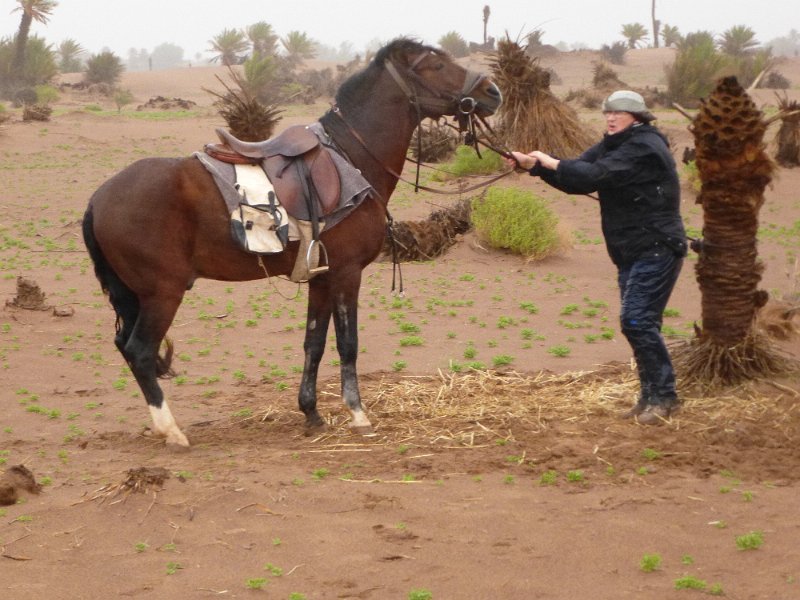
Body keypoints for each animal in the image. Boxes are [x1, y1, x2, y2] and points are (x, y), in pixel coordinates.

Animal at [84, 39, 504, 446]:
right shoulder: (347, 274)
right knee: (140, 352)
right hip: (163, 293)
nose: (492, 91)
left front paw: (311, 412)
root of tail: (99, 198)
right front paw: (358, 414)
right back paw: (171, 431)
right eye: (436, 65)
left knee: (127, 347)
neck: (351, 158)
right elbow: (347, 344)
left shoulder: (321, 276)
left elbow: (313, 343)